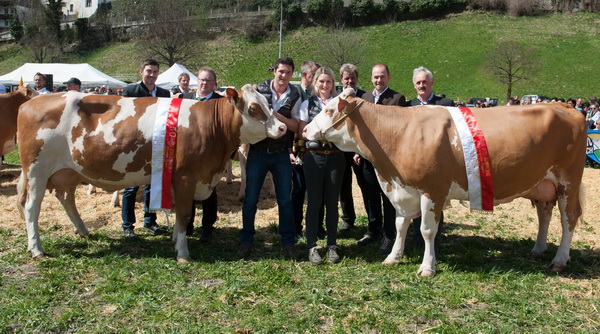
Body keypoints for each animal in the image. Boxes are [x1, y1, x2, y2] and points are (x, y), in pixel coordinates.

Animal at [14, 83, 286, 260]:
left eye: (268, 103)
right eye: (254, 108)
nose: (283, 127)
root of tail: (31, 102)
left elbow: (180, 214)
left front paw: (175, 240)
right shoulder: (185, 176)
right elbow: (184, 214)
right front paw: (183, 253)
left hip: (68, 172)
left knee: (66, 198)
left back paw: (83, 231)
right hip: (37, 171)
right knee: (31, 207)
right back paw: (37, 249)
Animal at [304, 88, 584, 276]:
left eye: (329, 110)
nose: (305, 130)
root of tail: (566, 106)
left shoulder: (433, 191)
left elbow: (428, 230)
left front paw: (427, 267)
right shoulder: (403, 191)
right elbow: (400, 224)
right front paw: (394, 257)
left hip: (568, 181)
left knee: (568, 218)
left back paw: (560, 259)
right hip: (543, 185)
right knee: (544, 215)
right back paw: (538, 248)